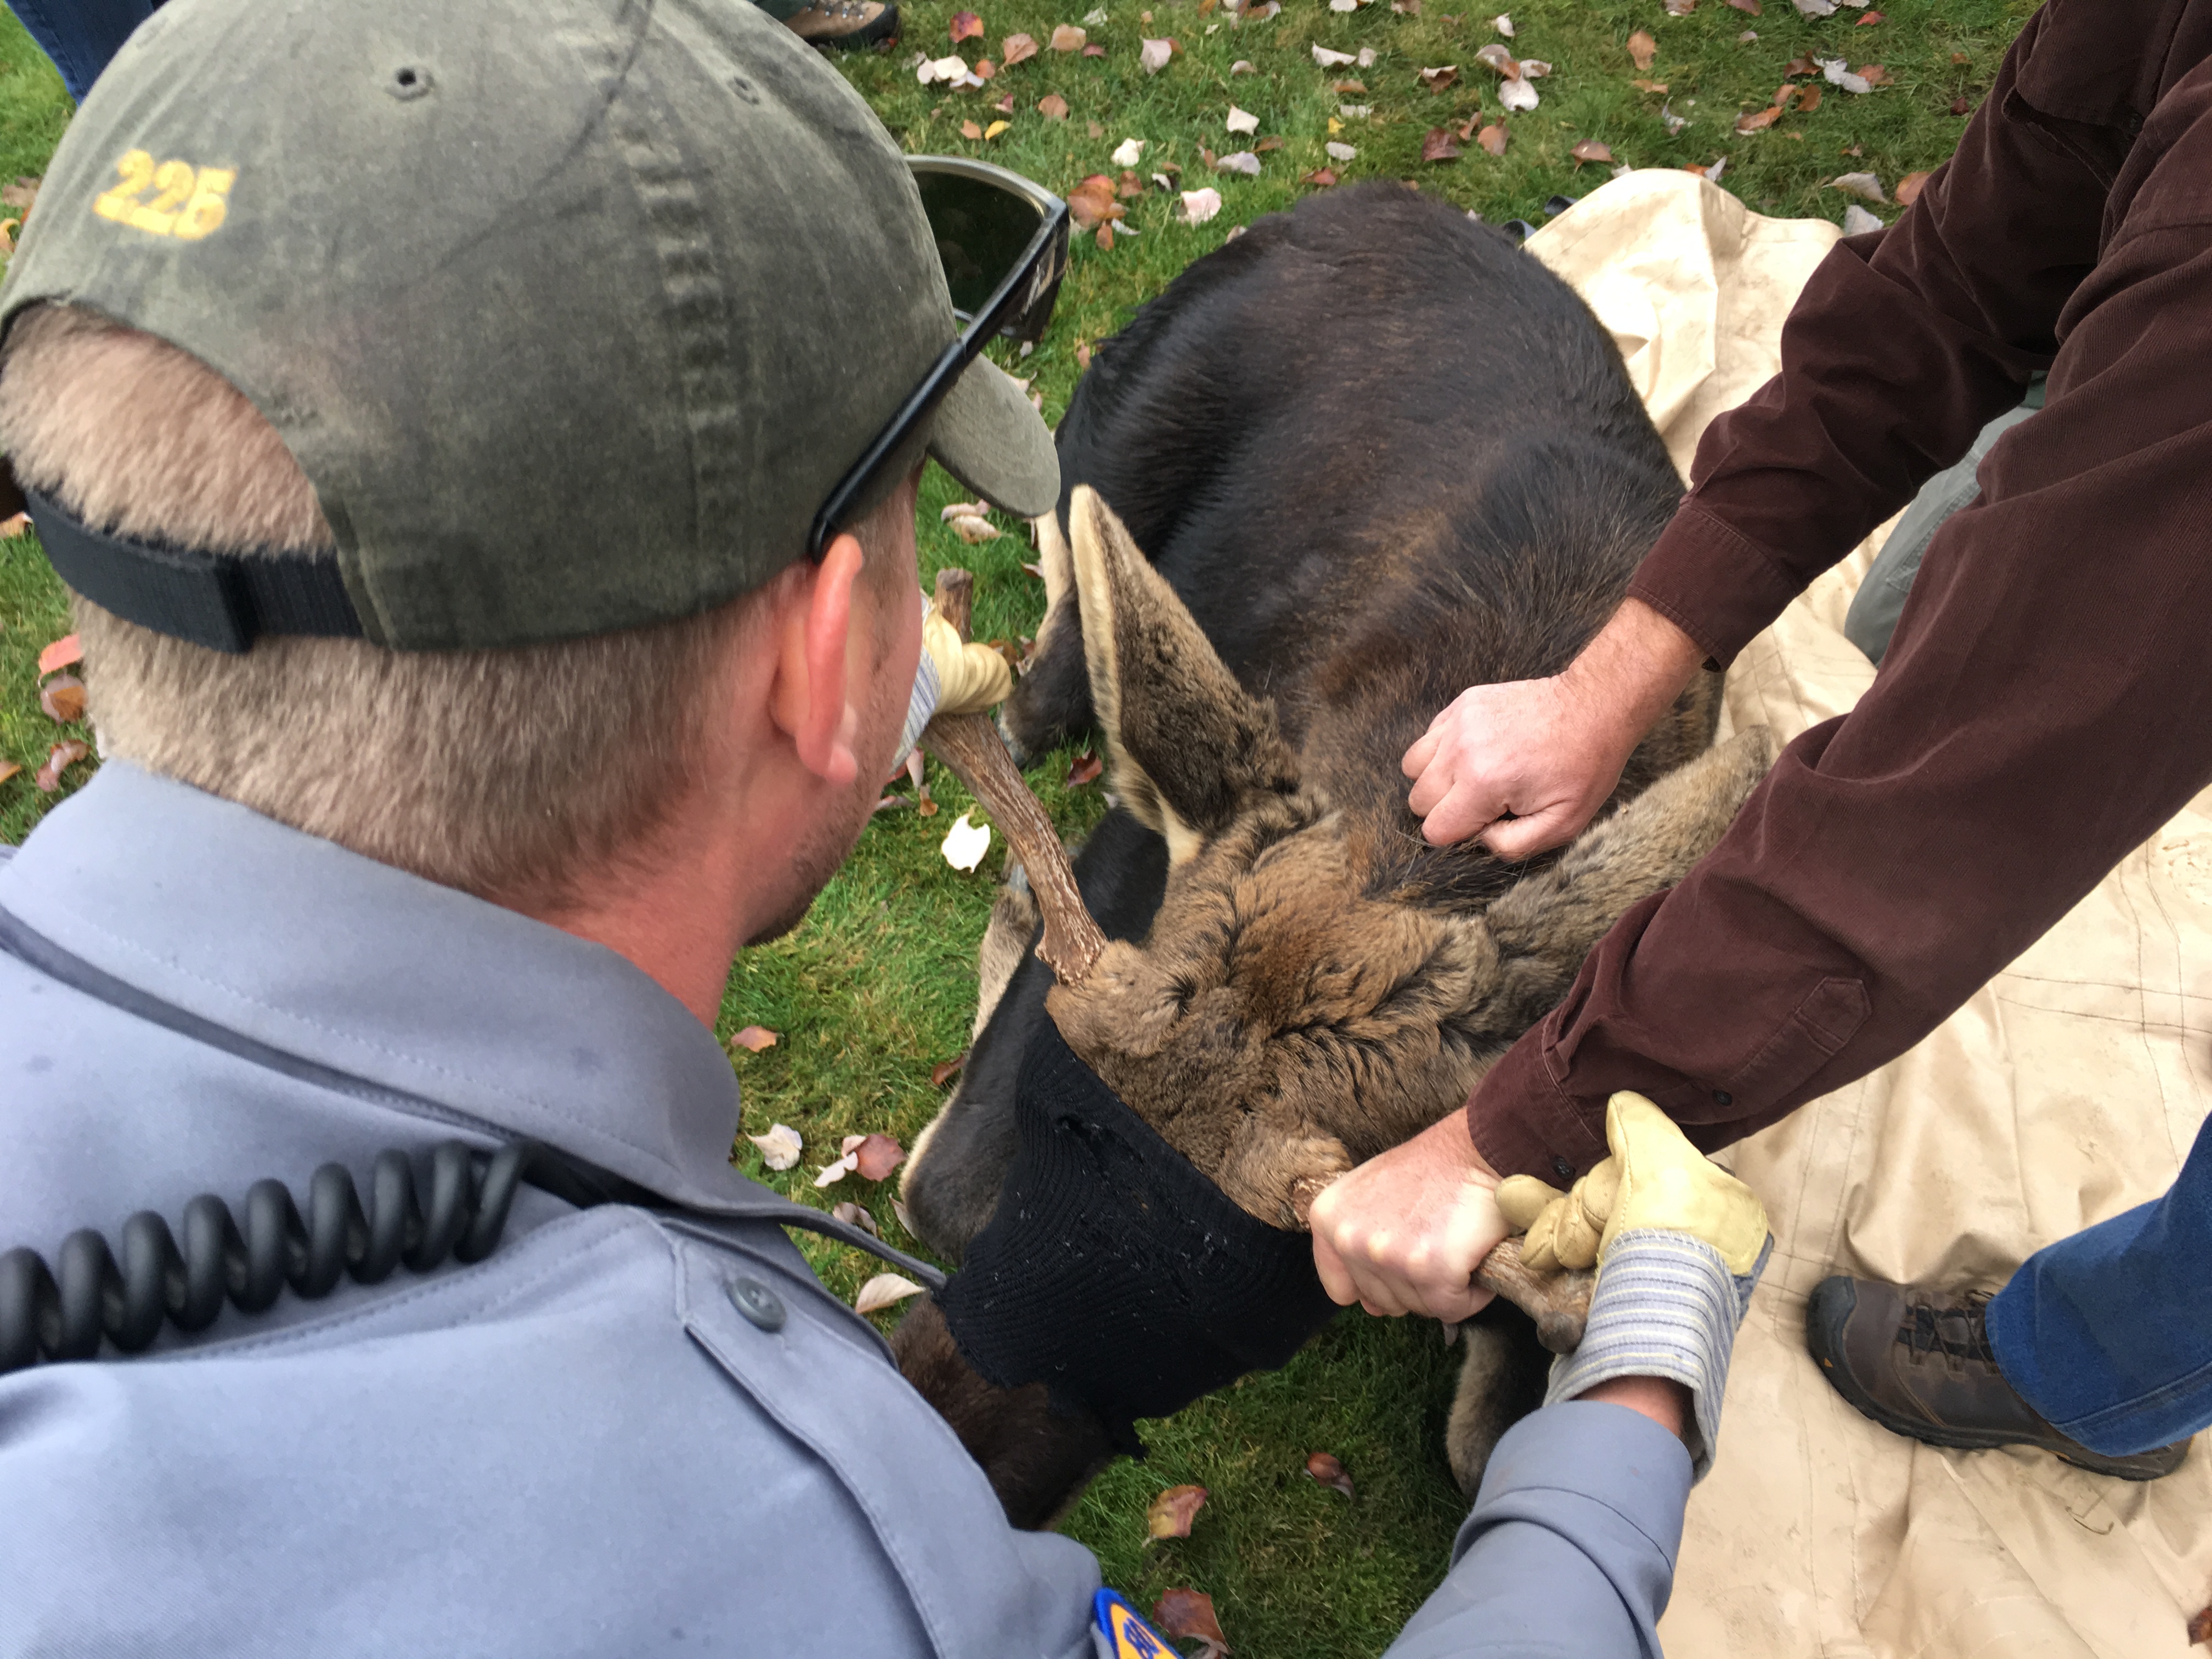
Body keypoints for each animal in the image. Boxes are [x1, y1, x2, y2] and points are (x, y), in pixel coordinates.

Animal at [889, 184, 1769, 1531]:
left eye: (1252, 1283)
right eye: (1053, 1102)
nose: (927, 1454)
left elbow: (1493, 1434)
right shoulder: (1127, 879)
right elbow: (942, 1179)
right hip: (1106, 442)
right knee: (1057, 611)